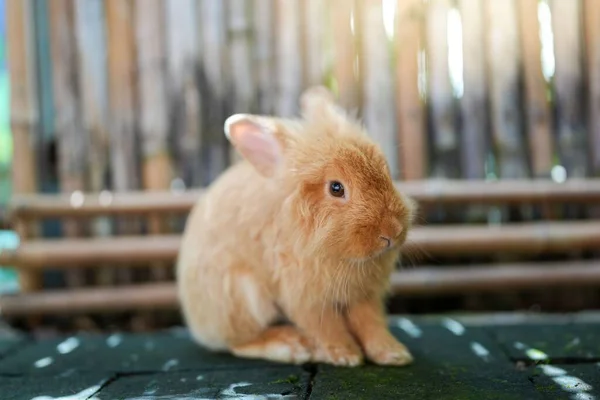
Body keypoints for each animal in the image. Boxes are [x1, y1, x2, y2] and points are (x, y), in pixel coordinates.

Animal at [176, 86, 414, 368]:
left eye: (385, 171)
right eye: (336, 188)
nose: (391, 232)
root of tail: (197, 324)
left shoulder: (363, 296)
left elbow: (371, 323)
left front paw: (393, 354)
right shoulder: (304, 295)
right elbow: (326, 327)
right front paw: (345, 355)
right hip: (243, 299)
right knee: (240, 343)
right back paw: (290, 346)